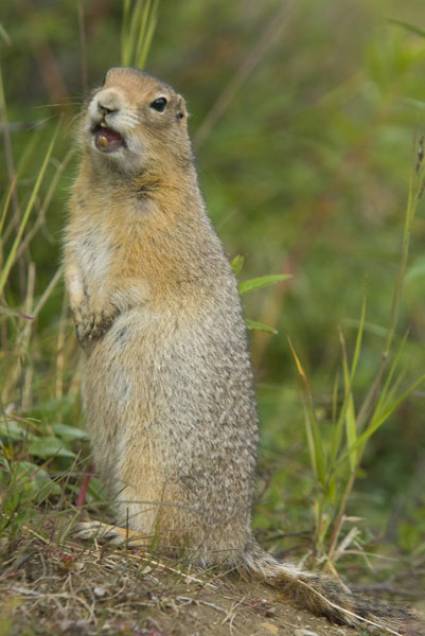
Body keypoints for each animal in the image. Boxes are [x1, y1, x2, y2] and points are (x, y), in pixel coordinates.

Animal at [65, 67, 410, 632]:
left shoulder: (153, 240)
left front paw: (96, 316)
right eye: (108, 77)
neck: (113, 184)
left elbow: (127, 280)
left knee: (170, 543)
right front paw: (79, 316)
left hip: (152, 472)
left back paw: (113, 532)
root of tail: (237, 541)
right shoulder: (75, 227)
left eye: (159, 104)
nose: (106, 103)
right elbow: (71, 265)